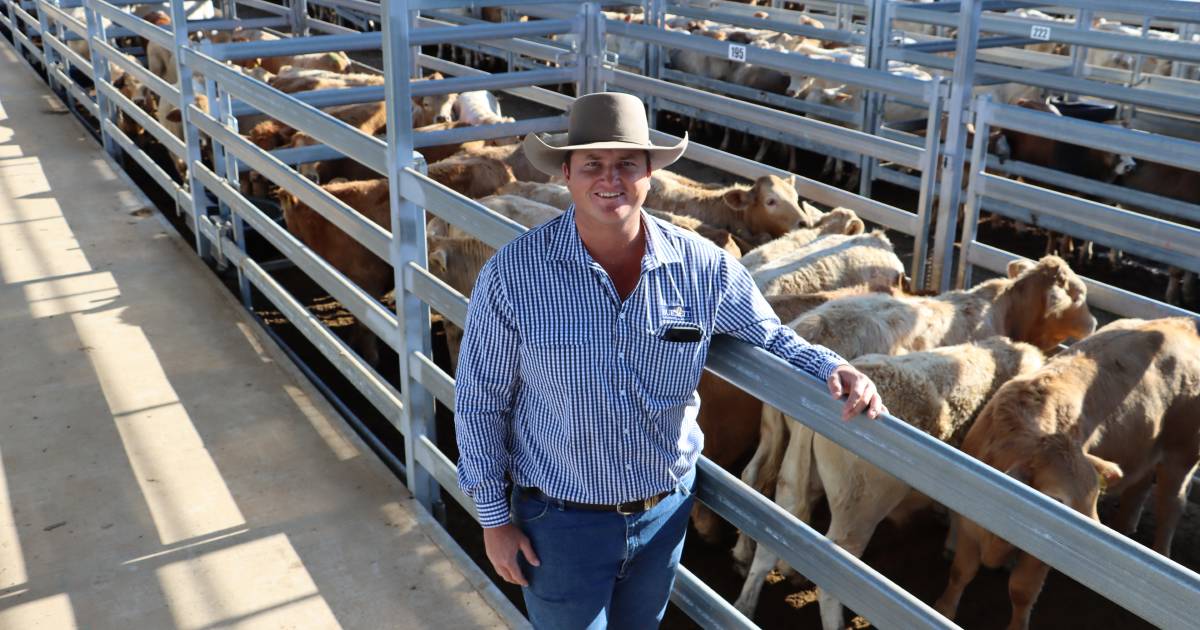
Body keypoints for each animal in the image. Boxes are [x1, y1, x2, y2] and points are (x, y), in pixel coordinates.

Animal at [936, 316, 1200, 628]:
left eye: (1095, 497)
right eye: (1057, 500)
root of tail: (1180, 322)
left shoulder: (1038, 554)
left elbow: (1022, 591)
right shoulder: (968, 522)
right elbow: (961, 572)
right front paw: (944, 609)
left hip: (1181, 456)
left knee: (1171, 506)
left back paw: (1160, 553)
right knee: (1140, 487)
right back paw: (1125, 527)